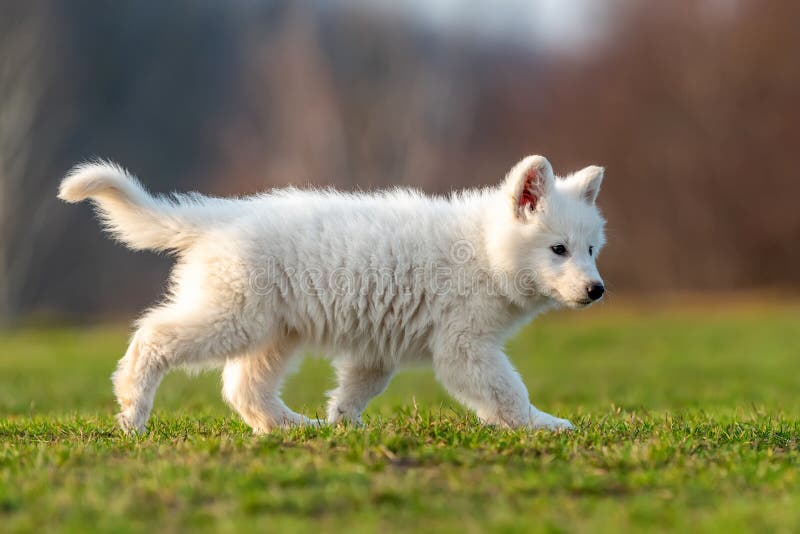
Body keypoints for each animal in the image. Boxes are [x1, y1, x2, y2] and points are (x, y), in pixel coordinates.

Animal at [57, 155, 608, 436]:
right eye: (558, 249)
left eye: (591, 249)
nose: (597, 290)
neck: (485, 249)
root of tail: (221, 217)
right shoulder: (464, 347)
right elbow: (507, 392)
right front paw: (545, 425)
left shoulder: (379, 346)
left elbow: (359, 388)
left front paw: (342, 423)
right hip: (234, 317)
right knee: (153, 336)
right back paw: (132, 410)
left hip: (274, 333)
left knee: (244, 388)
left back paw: (293, 427)